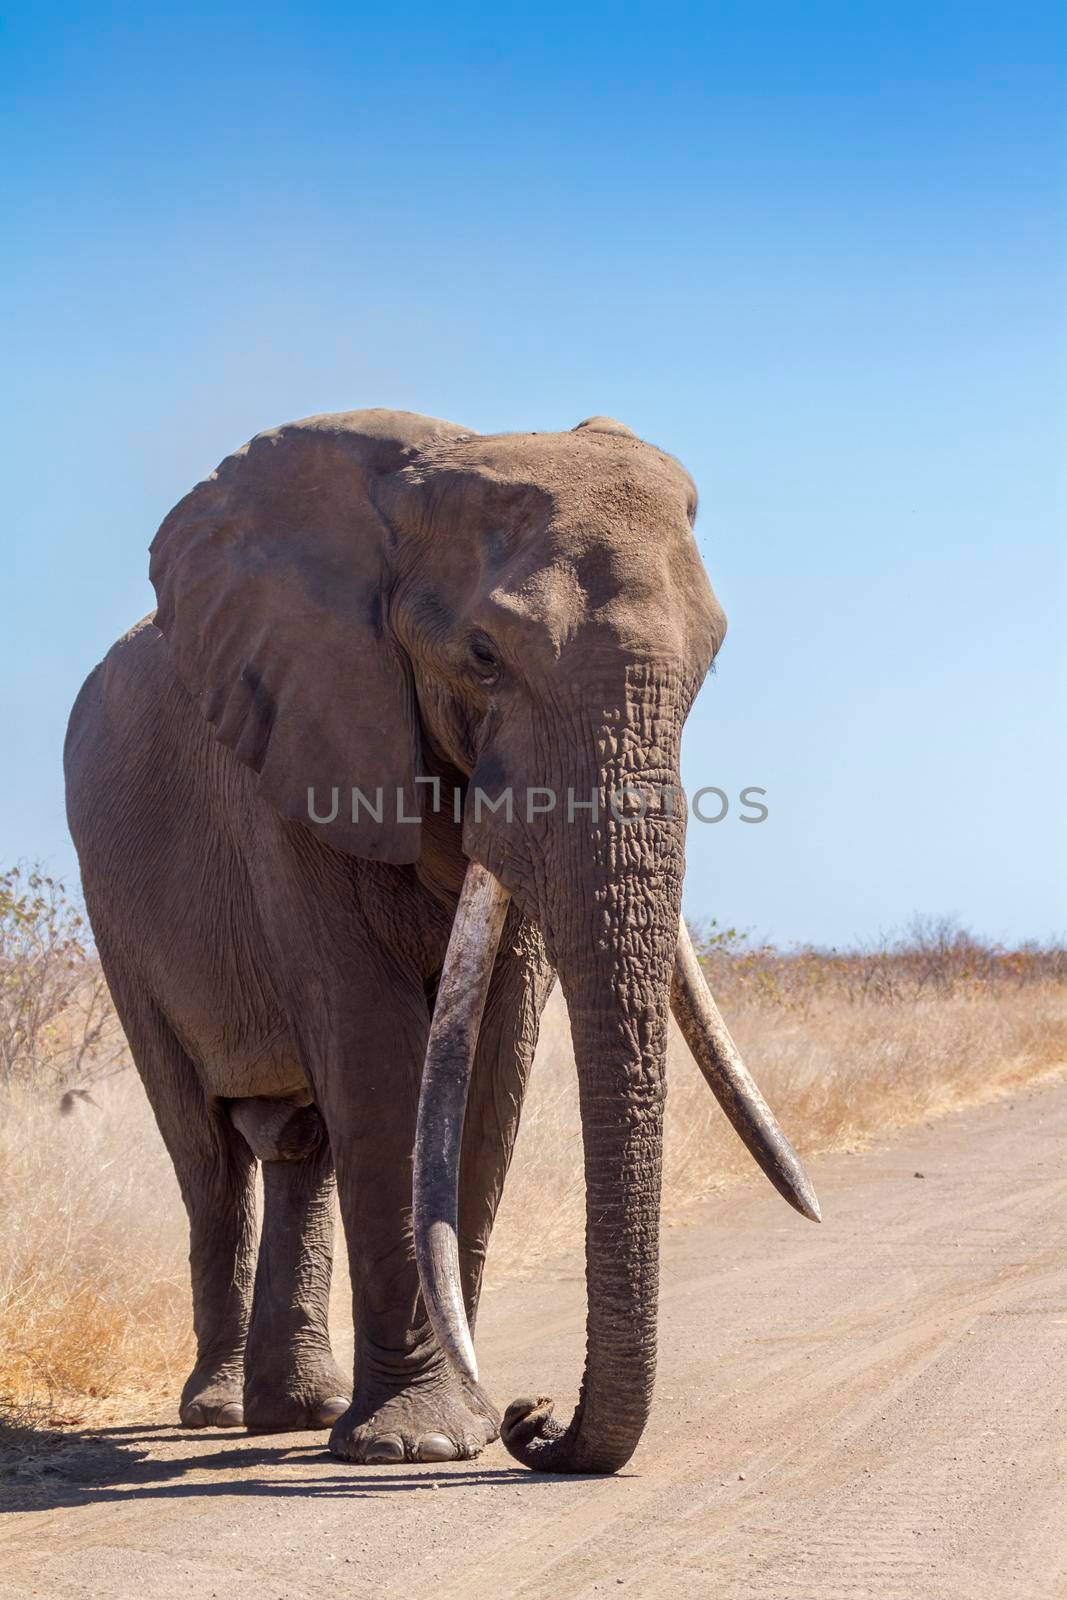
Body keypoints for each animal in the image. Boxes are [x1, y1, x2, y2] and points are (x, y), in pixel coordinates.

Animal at [66, 409, 819, 1472]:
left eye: (708, 663)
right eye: (483, 655)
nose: (536, 1417)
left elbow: (492, 1055)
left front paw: (447, 1425)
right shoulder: (304, 745)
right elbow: (379, 1053)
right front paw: (420, 1441)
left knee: (299, 1144)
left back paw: (294, 1411)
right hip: (117, 909)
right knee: (207, 1153)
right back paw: (218, 1412)